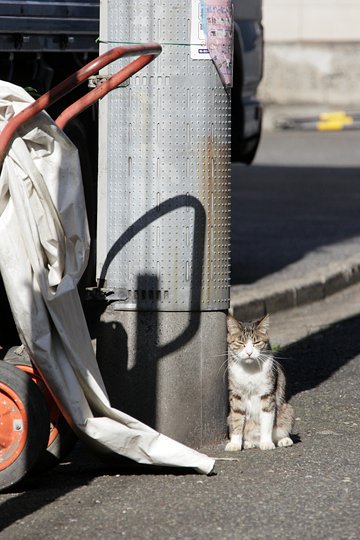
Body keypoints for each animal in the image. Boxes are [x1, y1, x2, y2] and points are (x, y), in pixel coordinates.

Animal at [226, 312, 294, 452]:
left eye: (256, 342)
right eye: (240, 342)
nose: (249, 353)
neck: (250, 370)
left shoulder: (267, 393)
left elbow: (267, 420)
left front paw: (267, 443)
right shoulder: (236, 394)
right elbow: (237, 419)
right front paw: (235, 444)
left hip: (287, 409)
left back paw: (283, 440)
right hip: (228, 418)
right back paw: (247, 443)